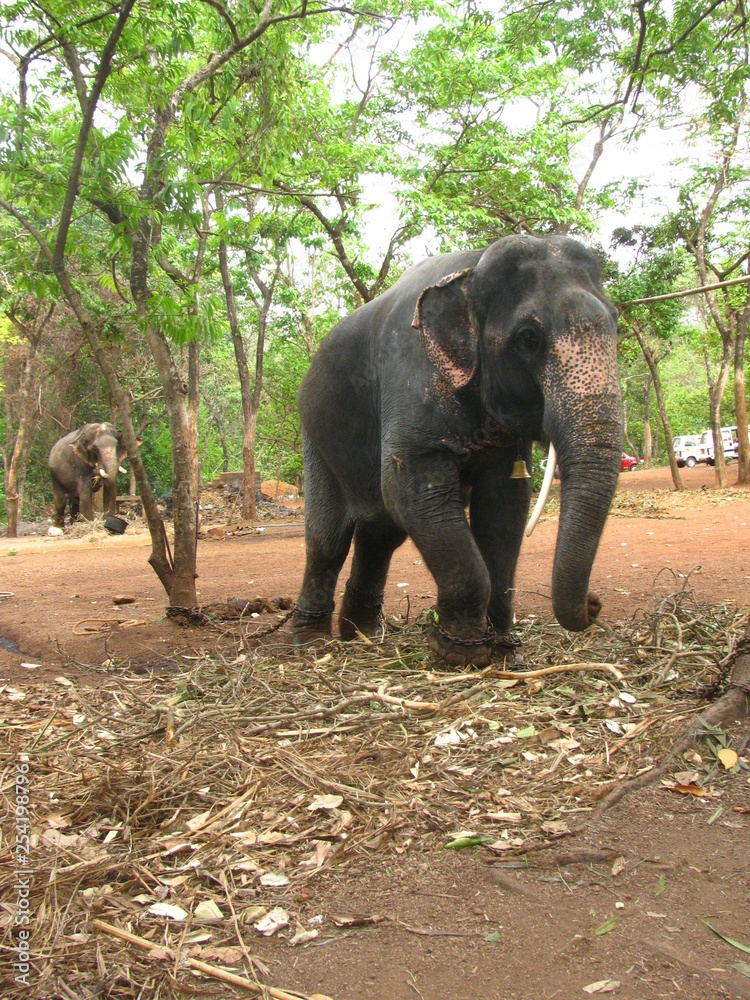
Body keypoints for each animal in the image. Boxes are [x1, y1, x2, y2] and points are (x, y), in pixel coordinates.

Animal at [293, 235, 622, 666]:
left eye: (617, 325)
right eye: (528, 338)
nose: (595, 603)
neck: (473, 267)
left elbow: (504, 506)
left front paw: (505, 654)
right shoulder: (411, 375)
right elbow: (413, 492)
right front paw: (459, 653)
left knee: (380, 535)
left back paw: (361, 636)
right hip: (316, 436)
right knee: (327, 538)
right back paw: (312, 643)